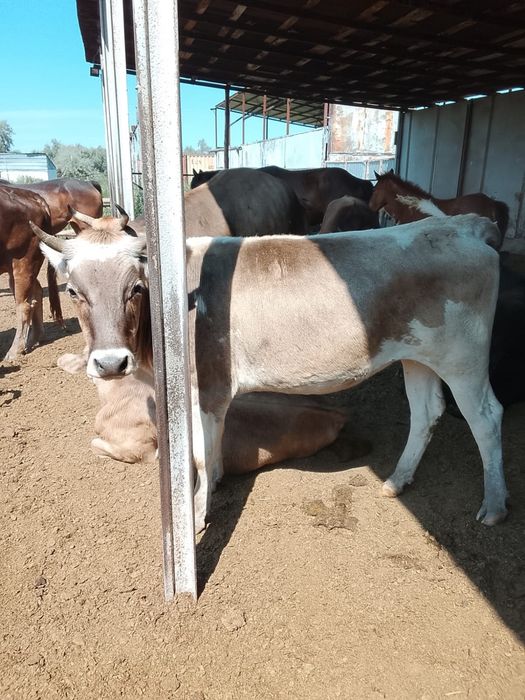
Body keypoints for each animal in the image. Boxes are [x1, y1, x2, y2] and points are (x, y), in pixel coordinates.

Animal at [1, 185, 63, 360]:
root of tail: (34, 197)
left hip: (23, 261)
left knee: (24, 305)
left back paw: (14, 351)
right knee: (36, 293)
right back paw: (33, 339)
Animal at [31, 211, 507, 532]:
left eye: (135, 288)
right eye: (73, 291)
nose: (111, 362)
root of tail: (461, 225)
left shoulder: (209, 384)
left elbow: (201, 453)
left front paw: (199, 513)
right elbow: (206, 452)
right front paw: (212, 487)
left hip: (463, 358)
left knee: (487, 418)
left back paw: (495, 506)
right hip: (417, 356)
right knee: (426, 414)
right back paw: (397, 481)